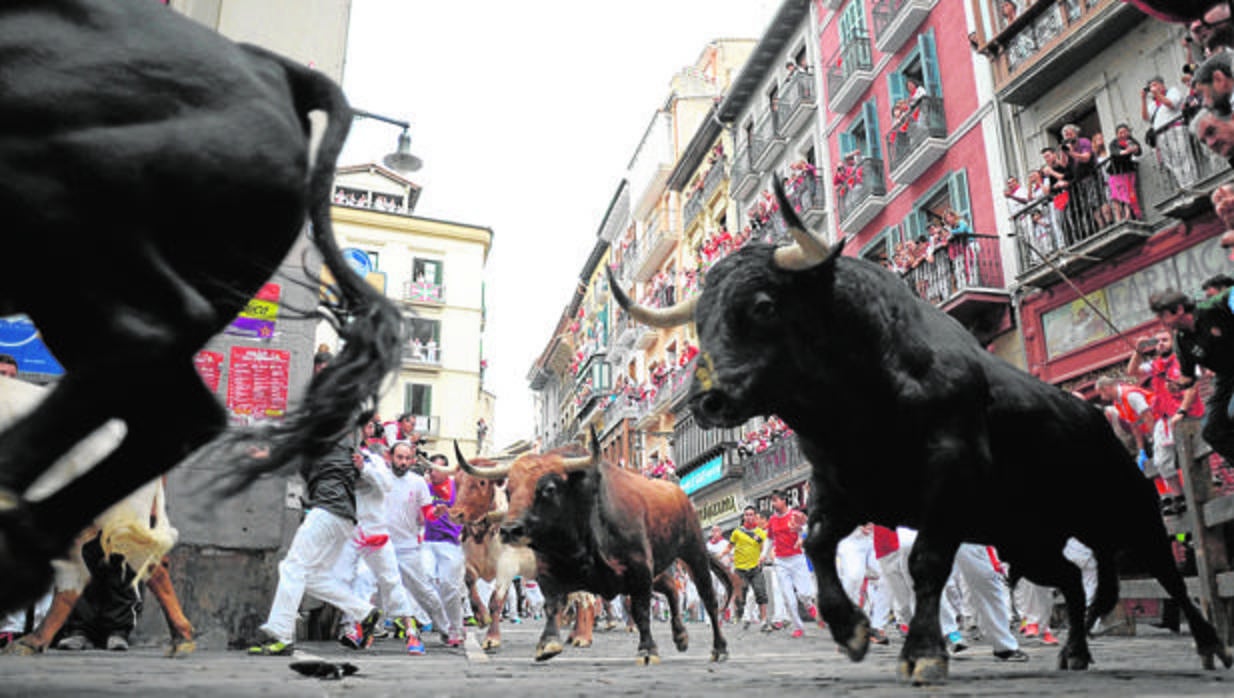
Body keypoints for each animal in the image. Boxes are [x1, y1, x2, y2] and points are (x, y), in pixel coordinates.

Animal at [461, 439, 730, 665]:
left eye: (548, 488)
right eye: (509, 490)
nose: (509, 530)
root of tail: (678, 493)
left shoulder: (639, 569)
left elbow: (641, 610)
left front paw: (647, 649)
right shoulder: (547, 571)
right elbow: (552, 605)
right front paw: (548, 642)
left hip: (694, 552)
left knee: (709, 598)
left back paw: (719, 648)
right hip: (658, 569)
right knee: (672, 587)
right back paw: (681, 636)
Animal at [612, 177, 1229, 685]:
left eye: (763, 305)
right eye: (700, 322)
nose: (705, 400)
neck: (858, 395)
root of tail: (1097, 420)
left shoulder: (950, 480)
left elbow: (925, 562)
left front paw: (924, 652)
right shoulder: (840, 488)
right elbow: (816, 544)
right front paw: (851, 630)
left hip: (1130, 514)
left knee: (1169, 576)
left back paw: (1208, 645)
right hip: (1027, 537)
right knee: (1073, 581)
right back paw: (1074, 651)